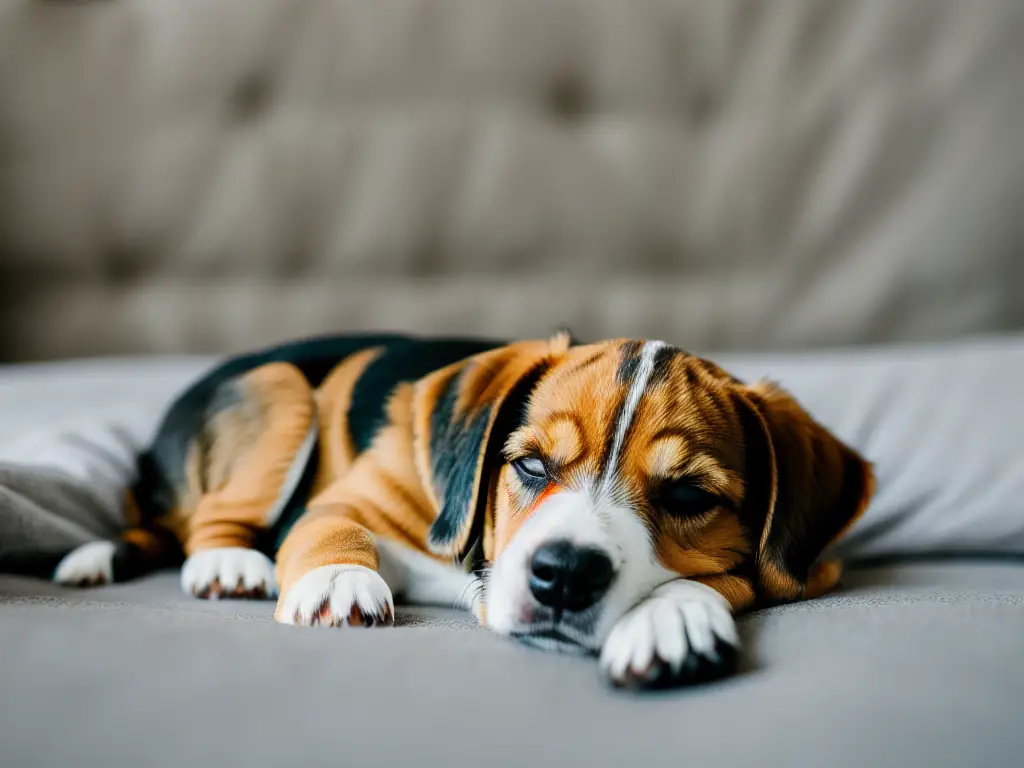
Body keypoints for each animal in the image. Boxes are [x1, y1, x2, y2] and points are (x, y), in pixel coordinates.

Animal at [51, 331, 872, 692]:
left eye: (690, 498)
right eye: (531, 465)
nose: (564, 576)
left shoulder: (808, 570)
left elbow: (722, 583)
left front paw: (675, 618)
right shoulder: (348, 498)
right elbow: (332, 526)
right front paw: (337, 582)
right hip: (281, 390)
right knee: (205, 523)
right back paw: (228, 561)